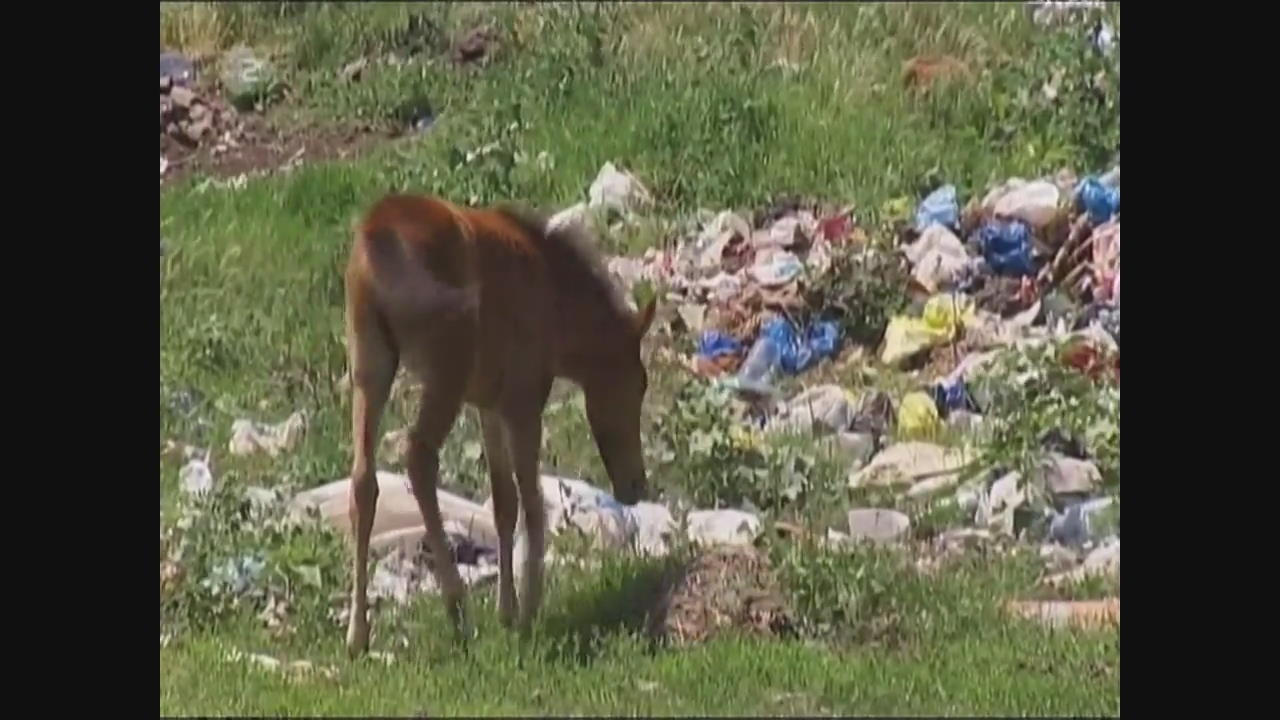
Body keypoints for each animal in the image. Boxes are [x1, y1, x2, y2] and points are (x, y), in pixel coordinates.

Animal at [343, 193, 655, 653]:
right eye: (639, 383)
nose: (636, 485)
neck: (559, 306)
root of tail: (375, 240)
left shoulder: (488, 404)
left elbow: (503, 502)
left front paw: (507, 611)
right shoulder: (523, 401)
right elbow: (532, 501)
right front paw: (528, 608)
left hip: (370, 365)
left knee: (364, 479)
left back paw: (358, 633)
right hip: (446, 370)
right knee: (419, 459)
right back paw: (456, 608)